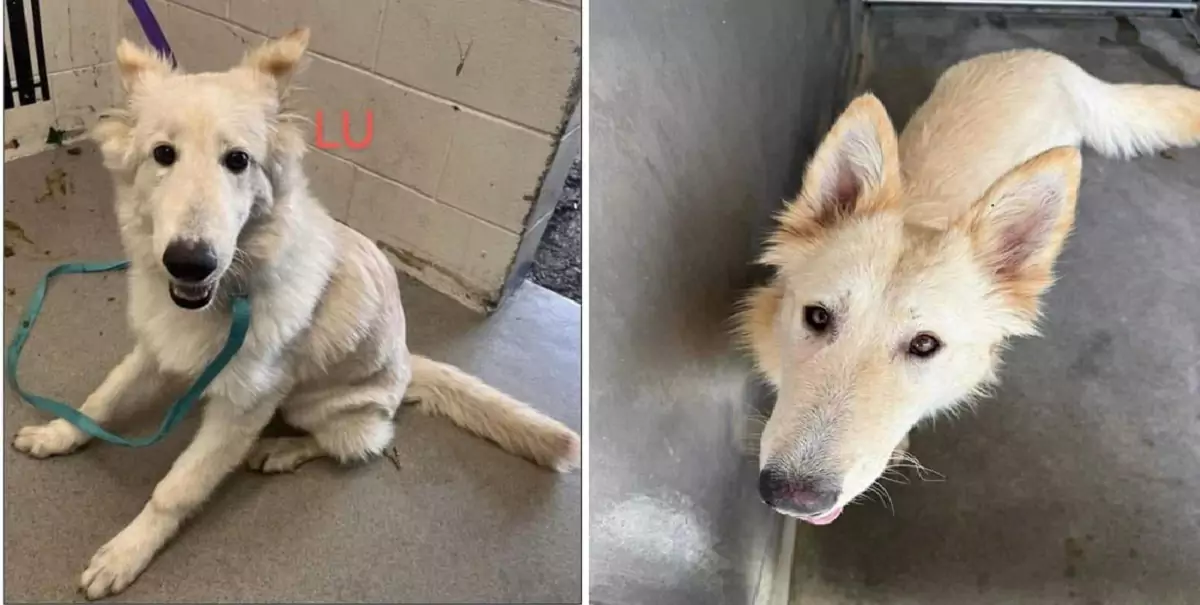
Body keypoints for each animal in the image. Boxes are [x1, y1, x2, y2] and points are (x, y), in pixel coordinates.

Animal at [9, 29, 580, 600]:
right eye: (163, 154)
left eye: (238, 160)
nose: (190, 261)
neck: (231, 290)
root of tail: (408, 363)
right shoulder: (152, 348)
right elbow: (100, 400)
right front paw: (58, 434)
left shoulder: (242, 408)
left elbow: (178, 487)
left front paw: (128, 551)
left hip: (321, 408)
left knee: (361, 443)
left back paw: (282, 450)